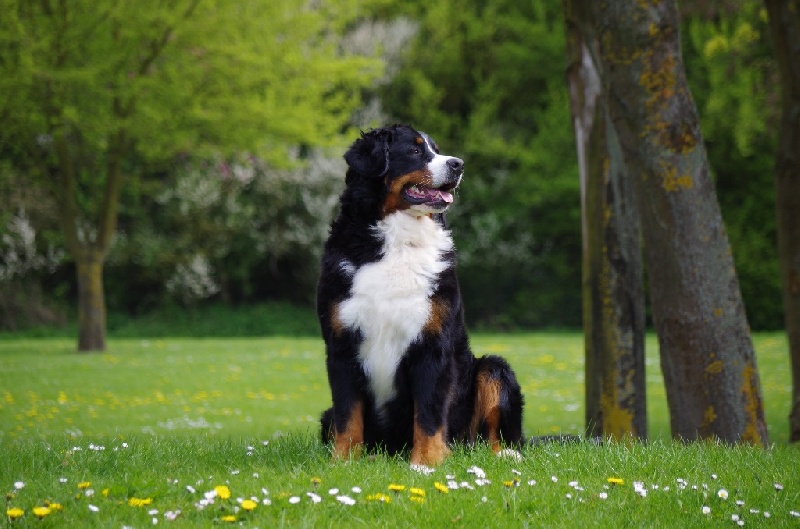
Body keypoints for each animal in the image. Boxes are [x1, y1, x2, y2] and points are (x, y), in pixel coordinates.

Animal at [318, 125, 524, 470]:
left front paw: (425, 464)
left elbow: (429, 413)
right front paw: (344, 462)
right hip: (326, 415)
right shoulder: (342, 344)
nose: (458, 164)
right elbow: (348, 415)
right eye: (415, 151)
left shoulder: (432, 343)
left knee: (491, 433)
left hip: (493, 369)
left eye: (437, 150)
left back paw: (502, 454)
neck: (399, 242)